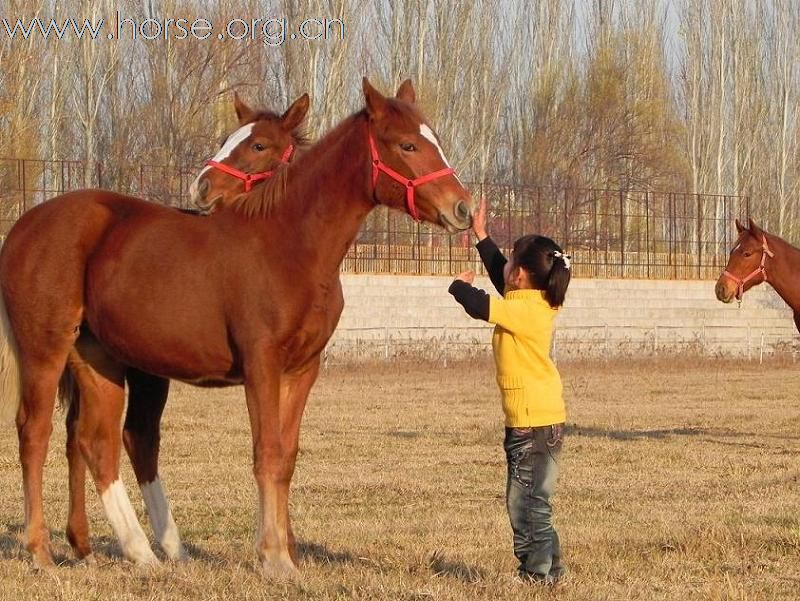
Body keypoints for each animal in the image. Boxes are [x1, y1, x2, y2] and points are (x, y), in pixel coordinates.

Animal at [0, 77, 472, 576]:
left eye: (431, 140)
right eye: (407, 144)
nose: (461, 207)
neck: (289, 244)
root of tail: (25, 225)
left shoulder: (302, 370)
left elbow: (286, 456)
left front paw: (287, 552)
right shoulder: (261, 364)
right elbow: (266, 452)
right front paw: (274, 558)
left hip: (99, 360)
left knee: (97, 441)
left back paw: (141, 551)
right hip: (45, 350)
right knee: (35, 431)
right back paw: (42, 551)